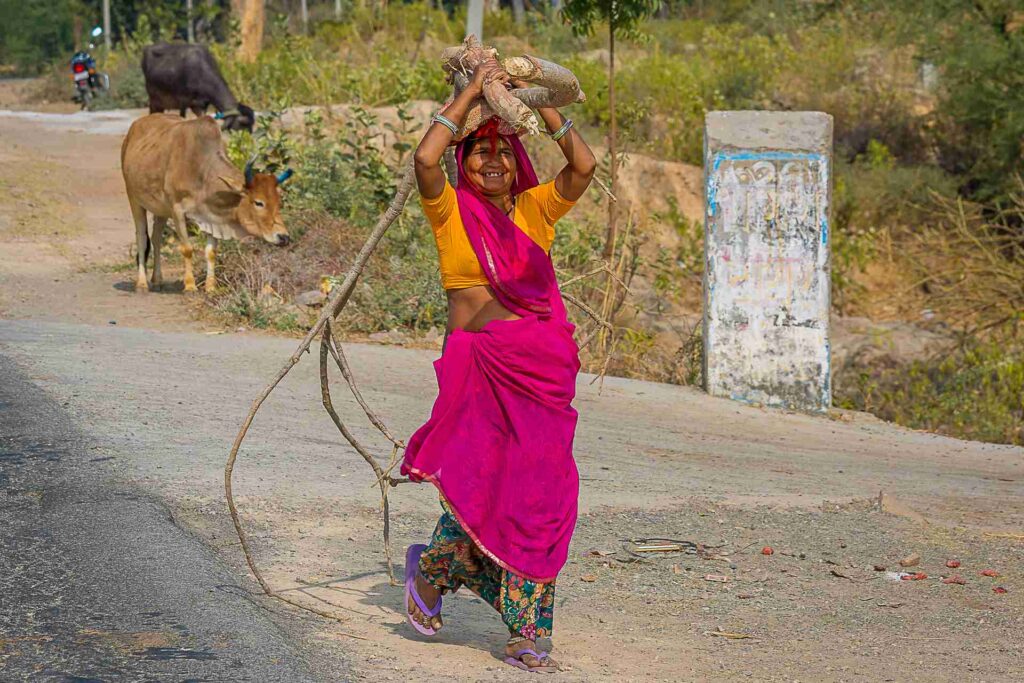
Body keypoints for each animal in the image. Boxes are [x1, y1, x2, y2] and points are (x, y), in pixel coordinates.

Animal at [118, 111, 292, 290]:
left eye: (278, 202)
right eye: (258, 202)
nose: (283, 237)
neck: (201, 169)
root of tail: (134, 128)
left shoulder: (211, 216)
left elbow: (211, 252)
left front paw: (210, 287)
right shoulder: (177, 210)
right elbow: (187, 249)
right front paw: (190, 285)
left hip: (161, 210)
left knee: (156, 238)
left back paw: (157, 279)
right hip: (134, 198)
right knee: (141, 238)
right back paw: (142, 283)